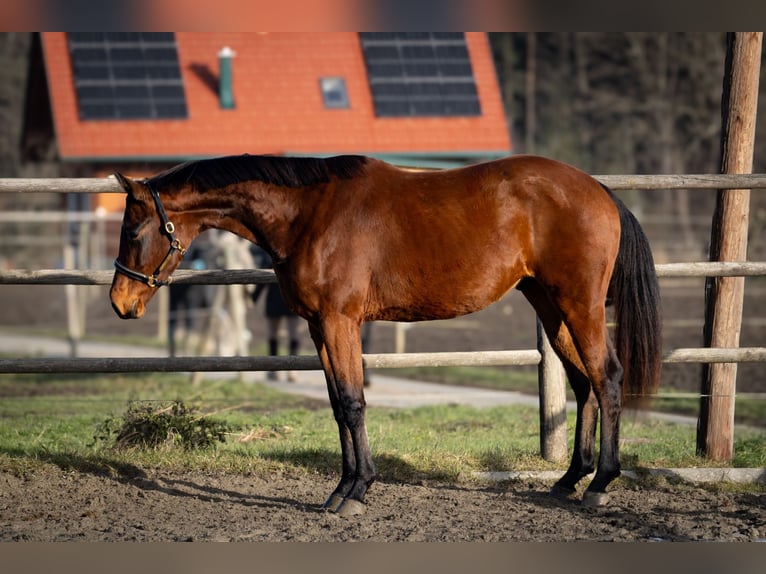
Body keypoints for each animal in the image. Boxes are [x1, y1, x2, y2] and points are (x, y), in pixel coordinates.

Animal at [109, 153, 664, 516]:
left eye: (133, 232)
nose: (120, 302)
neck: (309, 211)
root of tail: (599, 191)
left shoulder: (340, 321)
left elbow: (354, 402)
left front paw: (356, 492)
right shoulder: (318, 325)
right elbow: (338, 405)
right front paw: (342, 488)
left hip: (579, 304)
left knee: (607, 377)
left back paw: (600, 484)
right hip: (549, 304)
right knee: (582, 382)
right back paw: (570, 479)